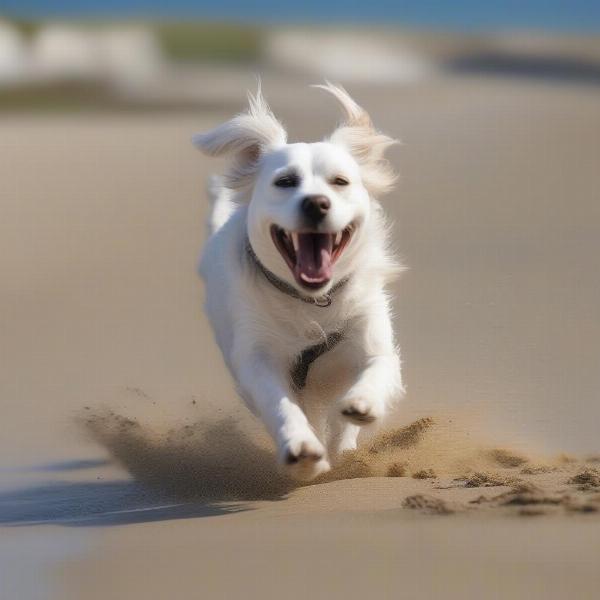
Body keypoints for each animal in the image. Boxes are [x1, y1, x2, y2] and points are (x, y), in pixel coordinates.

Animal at [195, 82, 406, 480]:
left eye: (340, 181)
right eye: (285, 182)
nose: (316, 203)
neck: (312, 301)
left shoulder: (371, 338)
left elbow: (377, 369)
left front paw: (362, 403)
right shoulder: (259, 358)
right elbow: (281, 405)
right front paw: (303, 450)